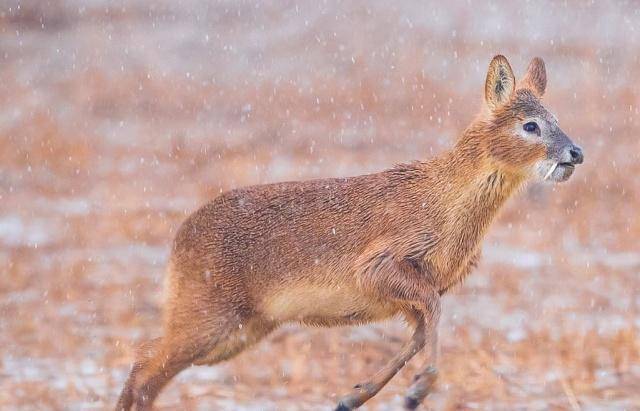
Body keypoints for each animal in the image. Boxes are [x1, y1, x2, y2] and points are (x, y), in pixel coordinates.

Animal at [115, 55, 584, 411]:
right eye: (530, 125)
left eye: (557, 118)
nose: (575, 152)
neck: (445, 209)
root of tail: (178, 241)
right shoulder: (379, 266)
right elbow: (431, 318)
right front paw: (416, 390)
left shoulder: (414, 291)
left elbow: (419, 334)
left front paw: (356, 396)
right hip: (209, 316)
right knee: (146, 368)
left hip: (240, 329)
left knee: (144, 359)